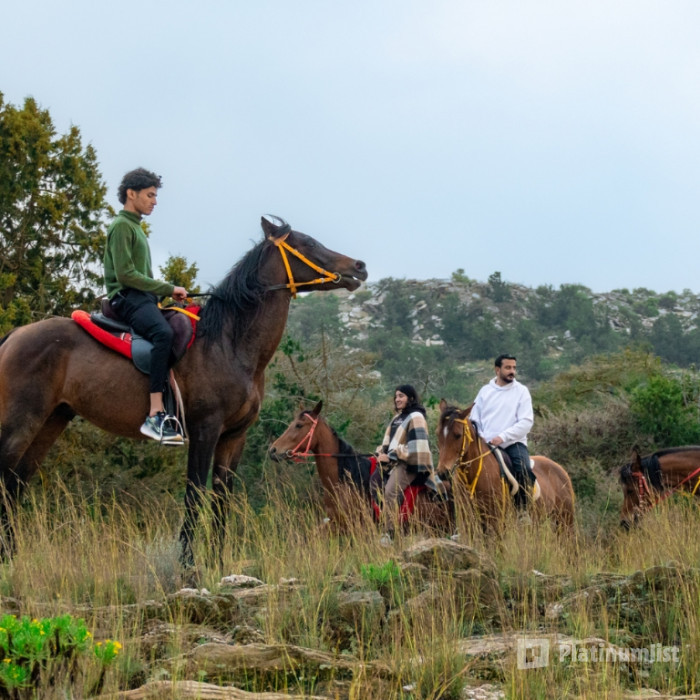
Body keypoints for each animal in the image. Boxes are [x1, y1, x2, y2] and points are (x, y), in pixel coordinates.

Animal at [0, 215, 367, 565]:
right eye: (308, 243)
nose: (359, 267)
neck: (229, 343)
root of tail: (15, 335)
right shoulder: (206, 429)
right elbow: (195, 494)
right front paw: (189, 564)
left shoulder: (234, 436)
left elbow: (221, 498)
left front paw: (217, 561)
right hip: (22, 422)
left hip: (52, 420)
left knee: (16, 482)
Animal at [436, 399, 575, 529]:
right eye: (438, 434)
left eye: (458, 435)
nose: (443, 472)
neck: (476, 475)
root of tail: (560, 469)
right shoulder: (469, 522)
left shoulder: (496, 521)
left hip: (565, 520)